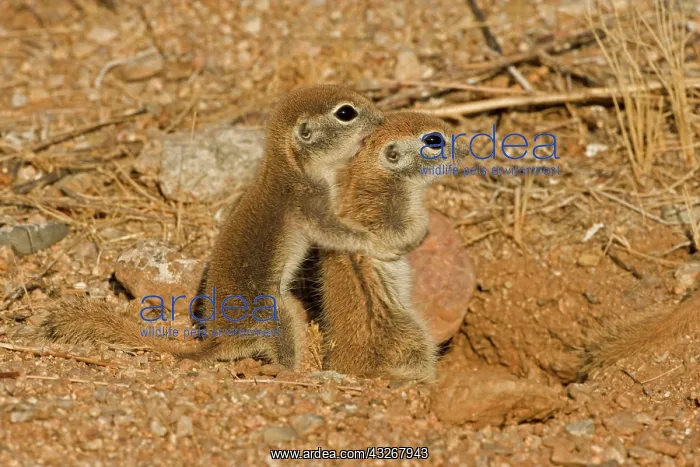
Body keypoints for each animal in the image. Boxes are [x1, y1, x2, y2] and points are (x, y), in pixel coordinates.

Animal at [43, 84, 414, 369]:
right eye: (346, 113)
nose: (382, 118)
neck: (291, 167)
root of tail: (218, 341)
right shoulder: (309, 204)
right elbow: (335, 231)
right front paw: (379, 243)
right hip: (277, 312)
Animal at [294, 111, 466, 381]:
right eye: (433, 140)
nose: (465, 149)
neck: (374, 171)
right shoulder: (392, 211)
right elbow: (408, 231)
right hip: (413, 335)